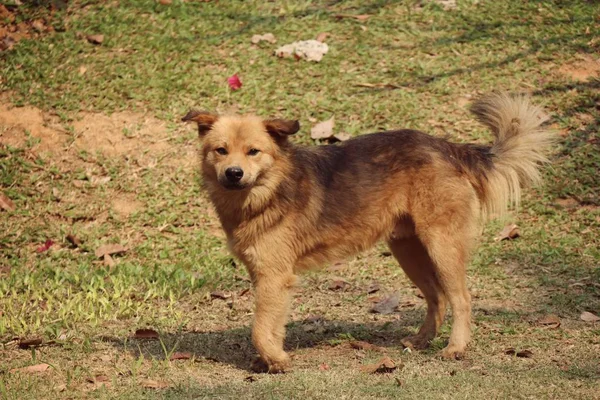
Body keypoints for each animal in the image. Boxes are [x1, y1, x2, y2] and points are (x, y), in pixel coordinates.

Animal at [182, 93, 552, 372]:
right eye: (220, 150)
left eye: (253, 152)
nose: (233, 173)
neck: (267, 191)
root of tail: (447, 147)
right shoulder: (266, 277)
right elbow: (270, 324)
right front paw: (270, 360)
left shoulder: (275, 276)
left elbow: (259, 328)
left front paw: (277, 360)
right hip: (408, 250)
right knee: (438, 297)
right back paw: (421, 341)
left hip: (441, 245)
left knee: (461, 298)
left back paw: (456, 347)